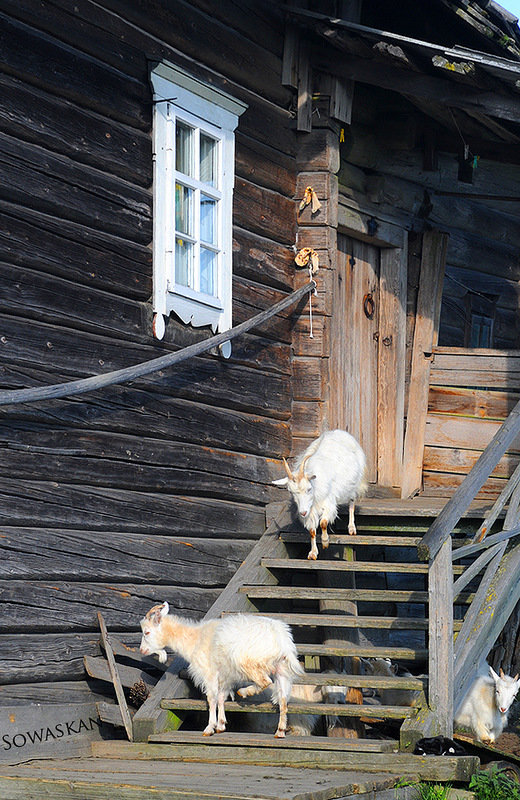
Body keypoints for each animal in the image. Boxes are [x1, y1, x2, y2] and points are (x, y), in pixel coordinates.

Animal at [140, 608, 302, 736]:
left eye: (147, 632)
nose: (142, 650)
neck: (195, 639)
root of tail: (281, 639)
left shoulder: (209, 673)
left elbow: (211, 699)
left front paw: (209, 728)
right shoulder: (225, 677)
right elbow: (221, 697)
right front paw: (221, 725)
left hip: (248, 662)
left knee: (265, 681)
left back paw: (245, 692)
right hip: (281, 669)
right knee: (283, 699)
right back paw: (280, 731)